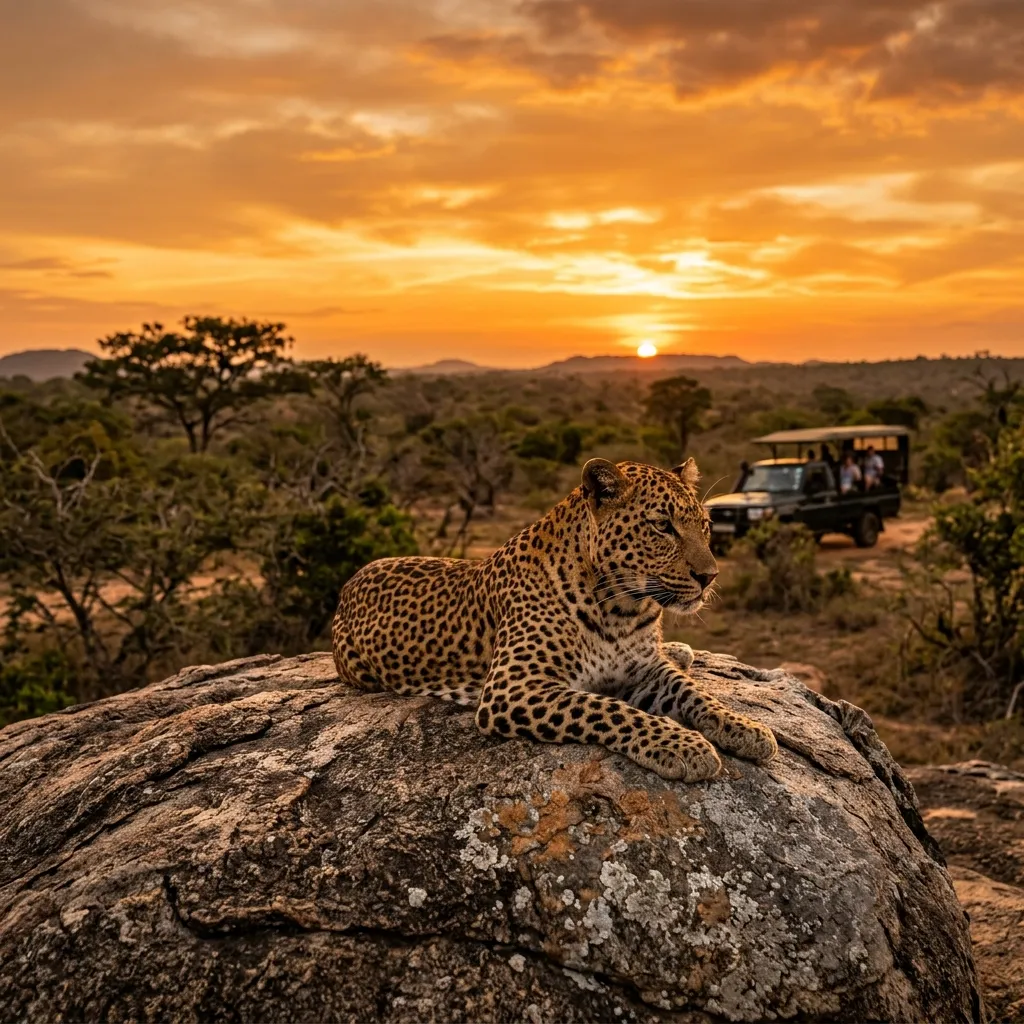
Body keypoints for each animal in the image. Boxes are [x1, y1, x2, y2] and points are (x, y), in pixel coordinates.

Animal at [331, 457, 778, 781]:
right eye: (662, 527)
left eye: (705, 526)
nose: (710, 576)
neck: (621, 608)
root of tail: (350, 581)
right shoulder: (513, 687)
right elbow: (608, 709)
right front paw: (685, 746)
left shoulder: (646, 669)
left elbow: (693, 691)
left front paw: (745, 727)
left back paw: (680, 650)